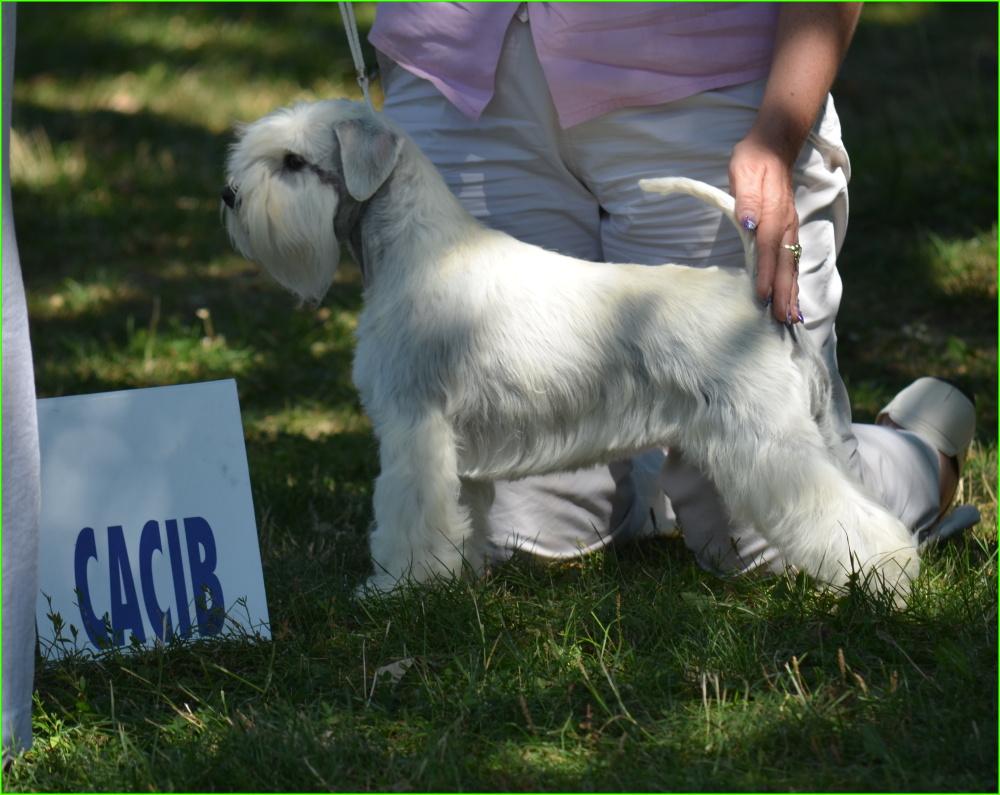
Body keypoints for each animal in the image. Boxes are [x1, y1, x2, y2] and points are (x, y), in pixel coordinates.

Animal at [222, 99, 919, 601]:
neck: (417, 252)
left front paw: (397, 587)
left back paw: (887, 579)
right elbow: (462, 516)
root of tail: (750, 292)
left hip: (768, 443)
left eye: (292, 161)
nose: (229, 196)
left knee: (840, 513)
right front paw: (458, 577)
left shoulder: (413, 425)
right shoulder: (455, 449)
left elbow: (408, 515)